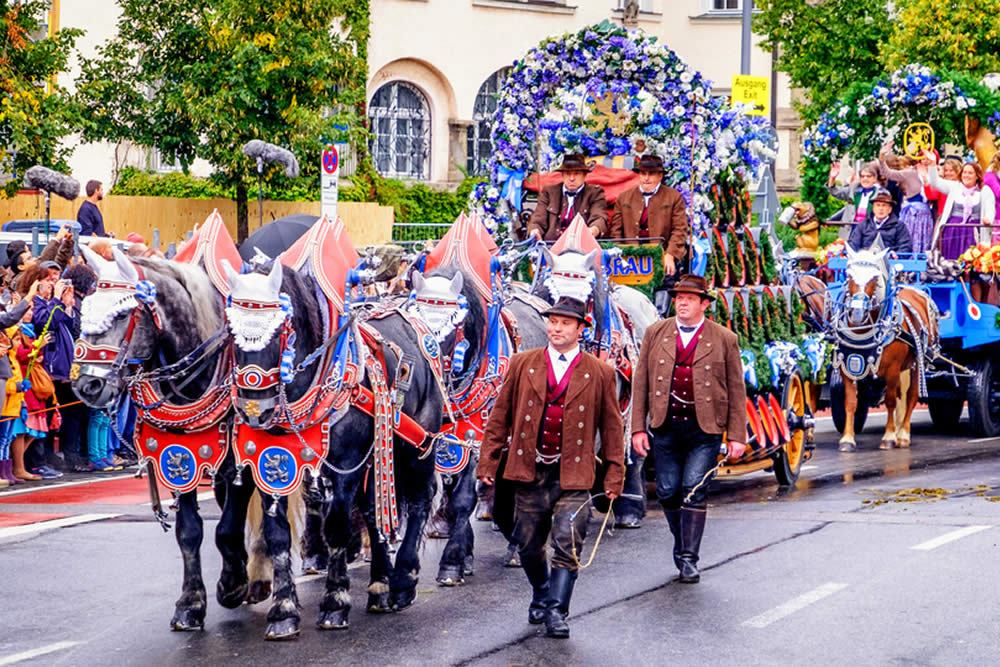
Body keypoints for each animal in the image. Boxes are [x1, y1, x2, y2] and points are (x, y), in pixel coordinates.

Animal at [70, 248, 288, 636]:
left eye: (121, 314)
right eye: (86, 310)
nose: (87, 386)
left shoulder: (242, 463)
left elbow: (228, 527)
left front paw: (231, 584)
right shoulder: (179, 459)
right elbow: (189, 532)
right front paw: (191, 604)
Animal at [225, 258, 448, 636]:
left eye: (280, 329)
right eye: (230, 329)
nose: (256, 409)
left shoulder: (345, 464)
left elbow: (338, 528)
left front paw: (335, 602)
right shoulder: (272, 465)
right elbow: (277, 536)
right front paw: (283, 611)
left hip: (417, 443)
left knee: (420, 499)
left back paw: (403, 581)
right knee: (374, 510)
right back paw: (379, 587)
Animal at [828, 247, 936, 454]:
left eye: (874, 278)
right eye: (849, 275)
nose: (857, 313)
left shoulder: (892, 369)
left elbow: (890, 401)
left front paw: (889, 437)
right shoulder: (848, 367)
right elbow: (850, 402)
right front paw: (847, 439)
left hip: (918, 362)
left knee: (911, 396)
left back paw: (903, 435)